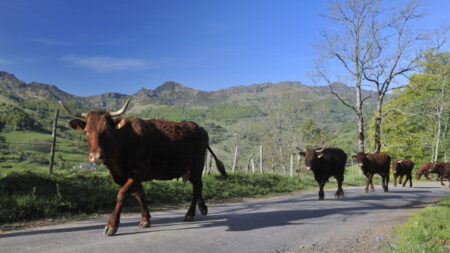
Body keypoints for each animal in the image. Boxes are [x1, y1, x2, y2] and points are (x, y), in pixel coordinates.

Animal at [59, 98, 229, 236]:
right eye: (86, 131)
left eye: (106, 130)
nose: (96, 156)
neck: (124, 141)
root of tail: (198, 127)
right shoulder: (126, 176)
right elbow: (139, 195)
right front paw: (145, 219)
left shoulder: (137, 173)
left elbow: (122, 194)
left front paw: (112, 225)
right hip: (189, 169)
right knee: (198, 186)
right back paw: (203, 207)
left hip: (196, 166)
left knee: (196, 188)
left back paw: (190, 214)